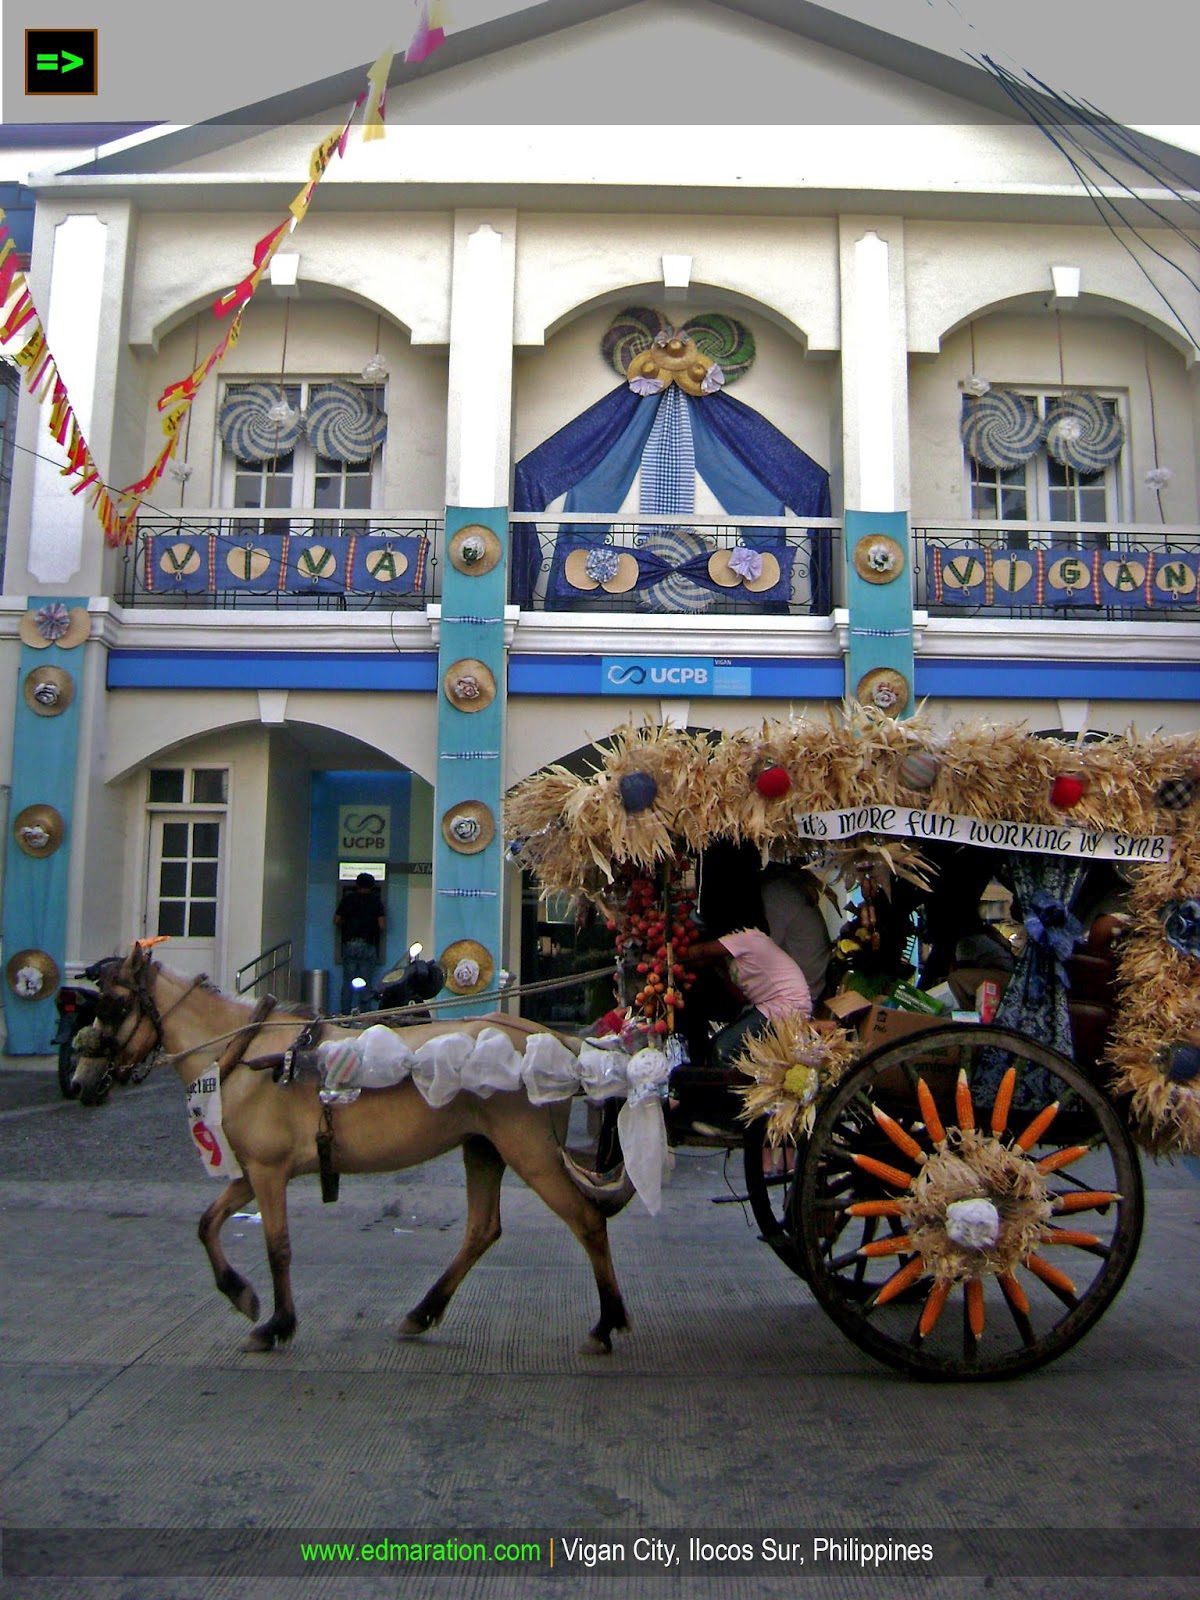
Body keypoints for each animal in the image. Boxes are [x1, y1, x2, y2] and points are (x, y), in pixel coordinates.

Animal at [70, 940, 633, 1356]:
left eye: (114, 1005)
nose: (81, 1080)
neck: (248, 1054)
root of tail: (553, 1041)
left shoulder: (268, 1172)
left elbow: (277, 1247)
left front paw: (277, 1323)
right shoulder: (253, 1171)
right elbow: (208, 1224)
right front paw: (241, 1295)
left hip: (529, 1150)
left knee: (586, 1221)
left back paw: (606, 1323)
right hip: (484, 1147)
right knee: (481, 1230)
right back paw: (422, 1313)